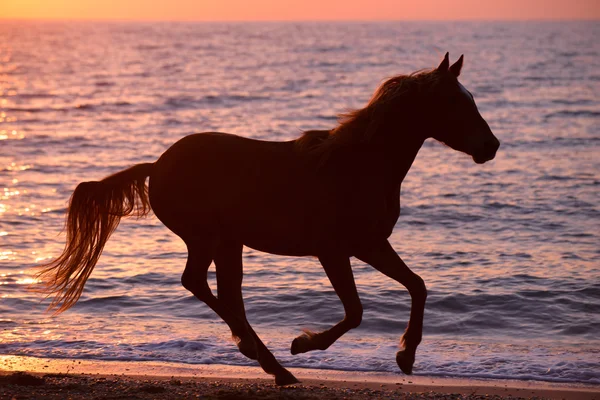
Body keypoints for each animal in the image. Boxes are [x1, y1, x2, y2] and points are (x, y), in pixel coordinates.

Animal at [35, 52, 500, 384]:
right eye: (455, 101)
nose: (491, 146)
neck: (356, 165)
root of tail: (156, 166)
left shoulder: (370, 244)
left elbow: (417, 286)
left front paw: (406, 355)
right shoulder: (334, 251)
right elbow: (355, 312)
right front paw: (303, 343)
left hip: (228, 243)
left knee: (222, 291)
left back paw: (264, 359)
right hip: (209, 238)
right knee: (201, 284)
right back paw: (274, 363)